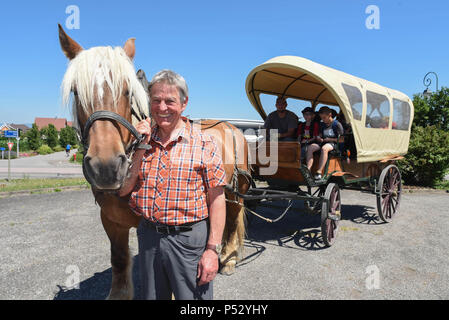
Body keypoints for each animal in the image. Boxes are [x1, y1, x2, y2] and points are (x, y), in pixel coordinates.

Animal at [57, 23, 250, 298]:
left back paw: (229, 258)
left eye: (127, 90)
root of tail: (232, 127)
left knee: (232, 221)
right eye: (75, 91)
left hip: (235, 193)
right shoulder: (110, 220)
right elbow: (119, 258)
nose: (106, 168)